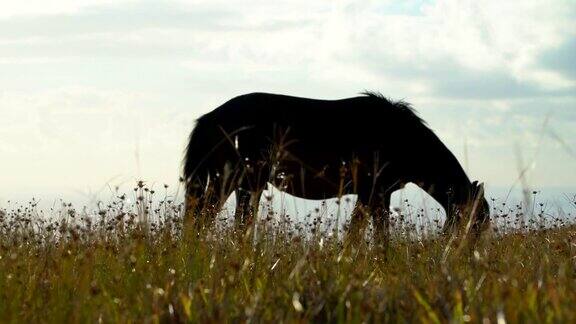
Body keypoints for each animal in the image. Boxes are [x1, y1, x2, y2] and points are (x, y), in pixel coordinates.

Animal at [182, 91, 488, 238]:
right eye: (475, 221)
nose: (462, 255)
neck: (399, 134)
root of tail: (210, 117)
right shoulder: (372, 193)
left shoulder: (379, 195)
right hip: (241, 181)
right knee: (217, 218)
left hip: (234, 182)